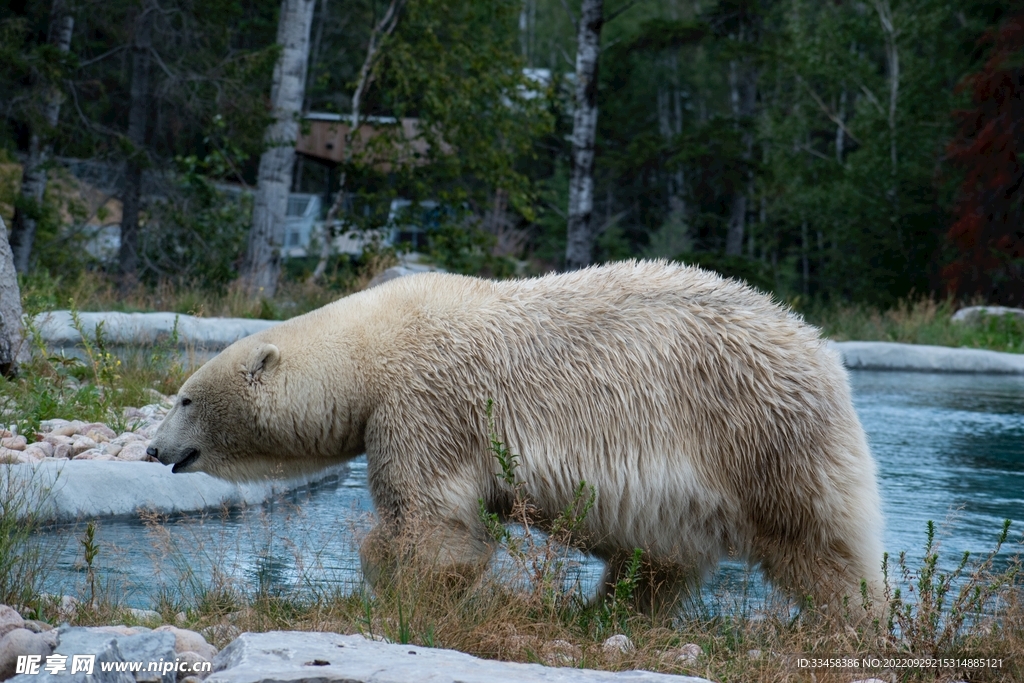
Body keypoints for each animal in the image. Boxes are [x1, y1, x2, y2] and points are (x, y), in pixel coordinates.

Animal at [148, 260, 884, 614]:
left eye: (184, 398)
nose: (153, 450)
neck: (375, 348)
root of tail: (817, 346)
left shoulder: (426, 403)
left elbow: (431, 517)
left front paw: (412, 592)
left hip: (759, 431)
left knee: (818, 542)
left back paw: (850, 619)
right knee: (659, 555)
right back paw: (610, 610)